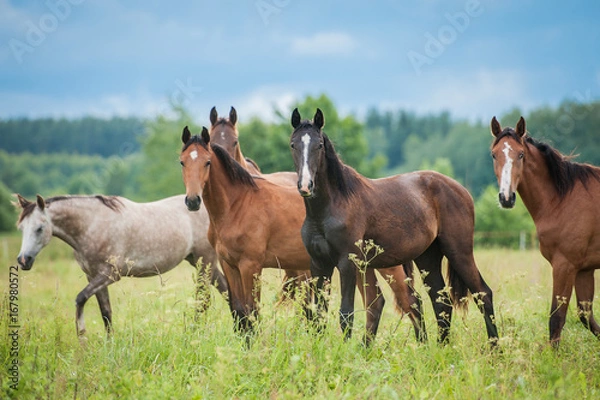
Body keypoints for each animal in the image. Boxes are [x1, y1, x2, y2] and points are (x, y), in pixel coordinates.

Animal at [179, 126, 426, 344]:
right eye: (182, 162)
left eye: (207, 162)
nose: (192, 201)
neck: (238, 205)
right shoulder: (229, 265)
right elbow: (239, 312)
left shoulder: (251, 266)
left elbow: (252, 311)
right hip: (364, 266)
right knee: (376, 303)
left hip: (388, 267)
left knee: (411, 302)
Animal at [288, 108, 500, 346]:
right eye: (293, 144)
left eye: (319, 145)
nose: (306, 186)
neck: (331, 207)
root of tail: (462, 190)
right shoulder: (319, 264)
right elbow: (319, 314)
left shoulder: (347, 263)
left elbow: (346, 313)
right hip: (427, 258)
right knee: (441, 301)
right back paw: (442, 348)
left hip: (459, 252)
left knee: (483, 294)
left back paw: (495, 348)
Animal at [490, 115, 600, 344]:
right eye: (494, 155)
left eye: (521, 154)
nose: (506, 198)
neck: (562, 200)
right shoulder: (584, 270)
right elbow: (586, 317)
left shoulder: (564, 266)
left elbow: (556, 319)